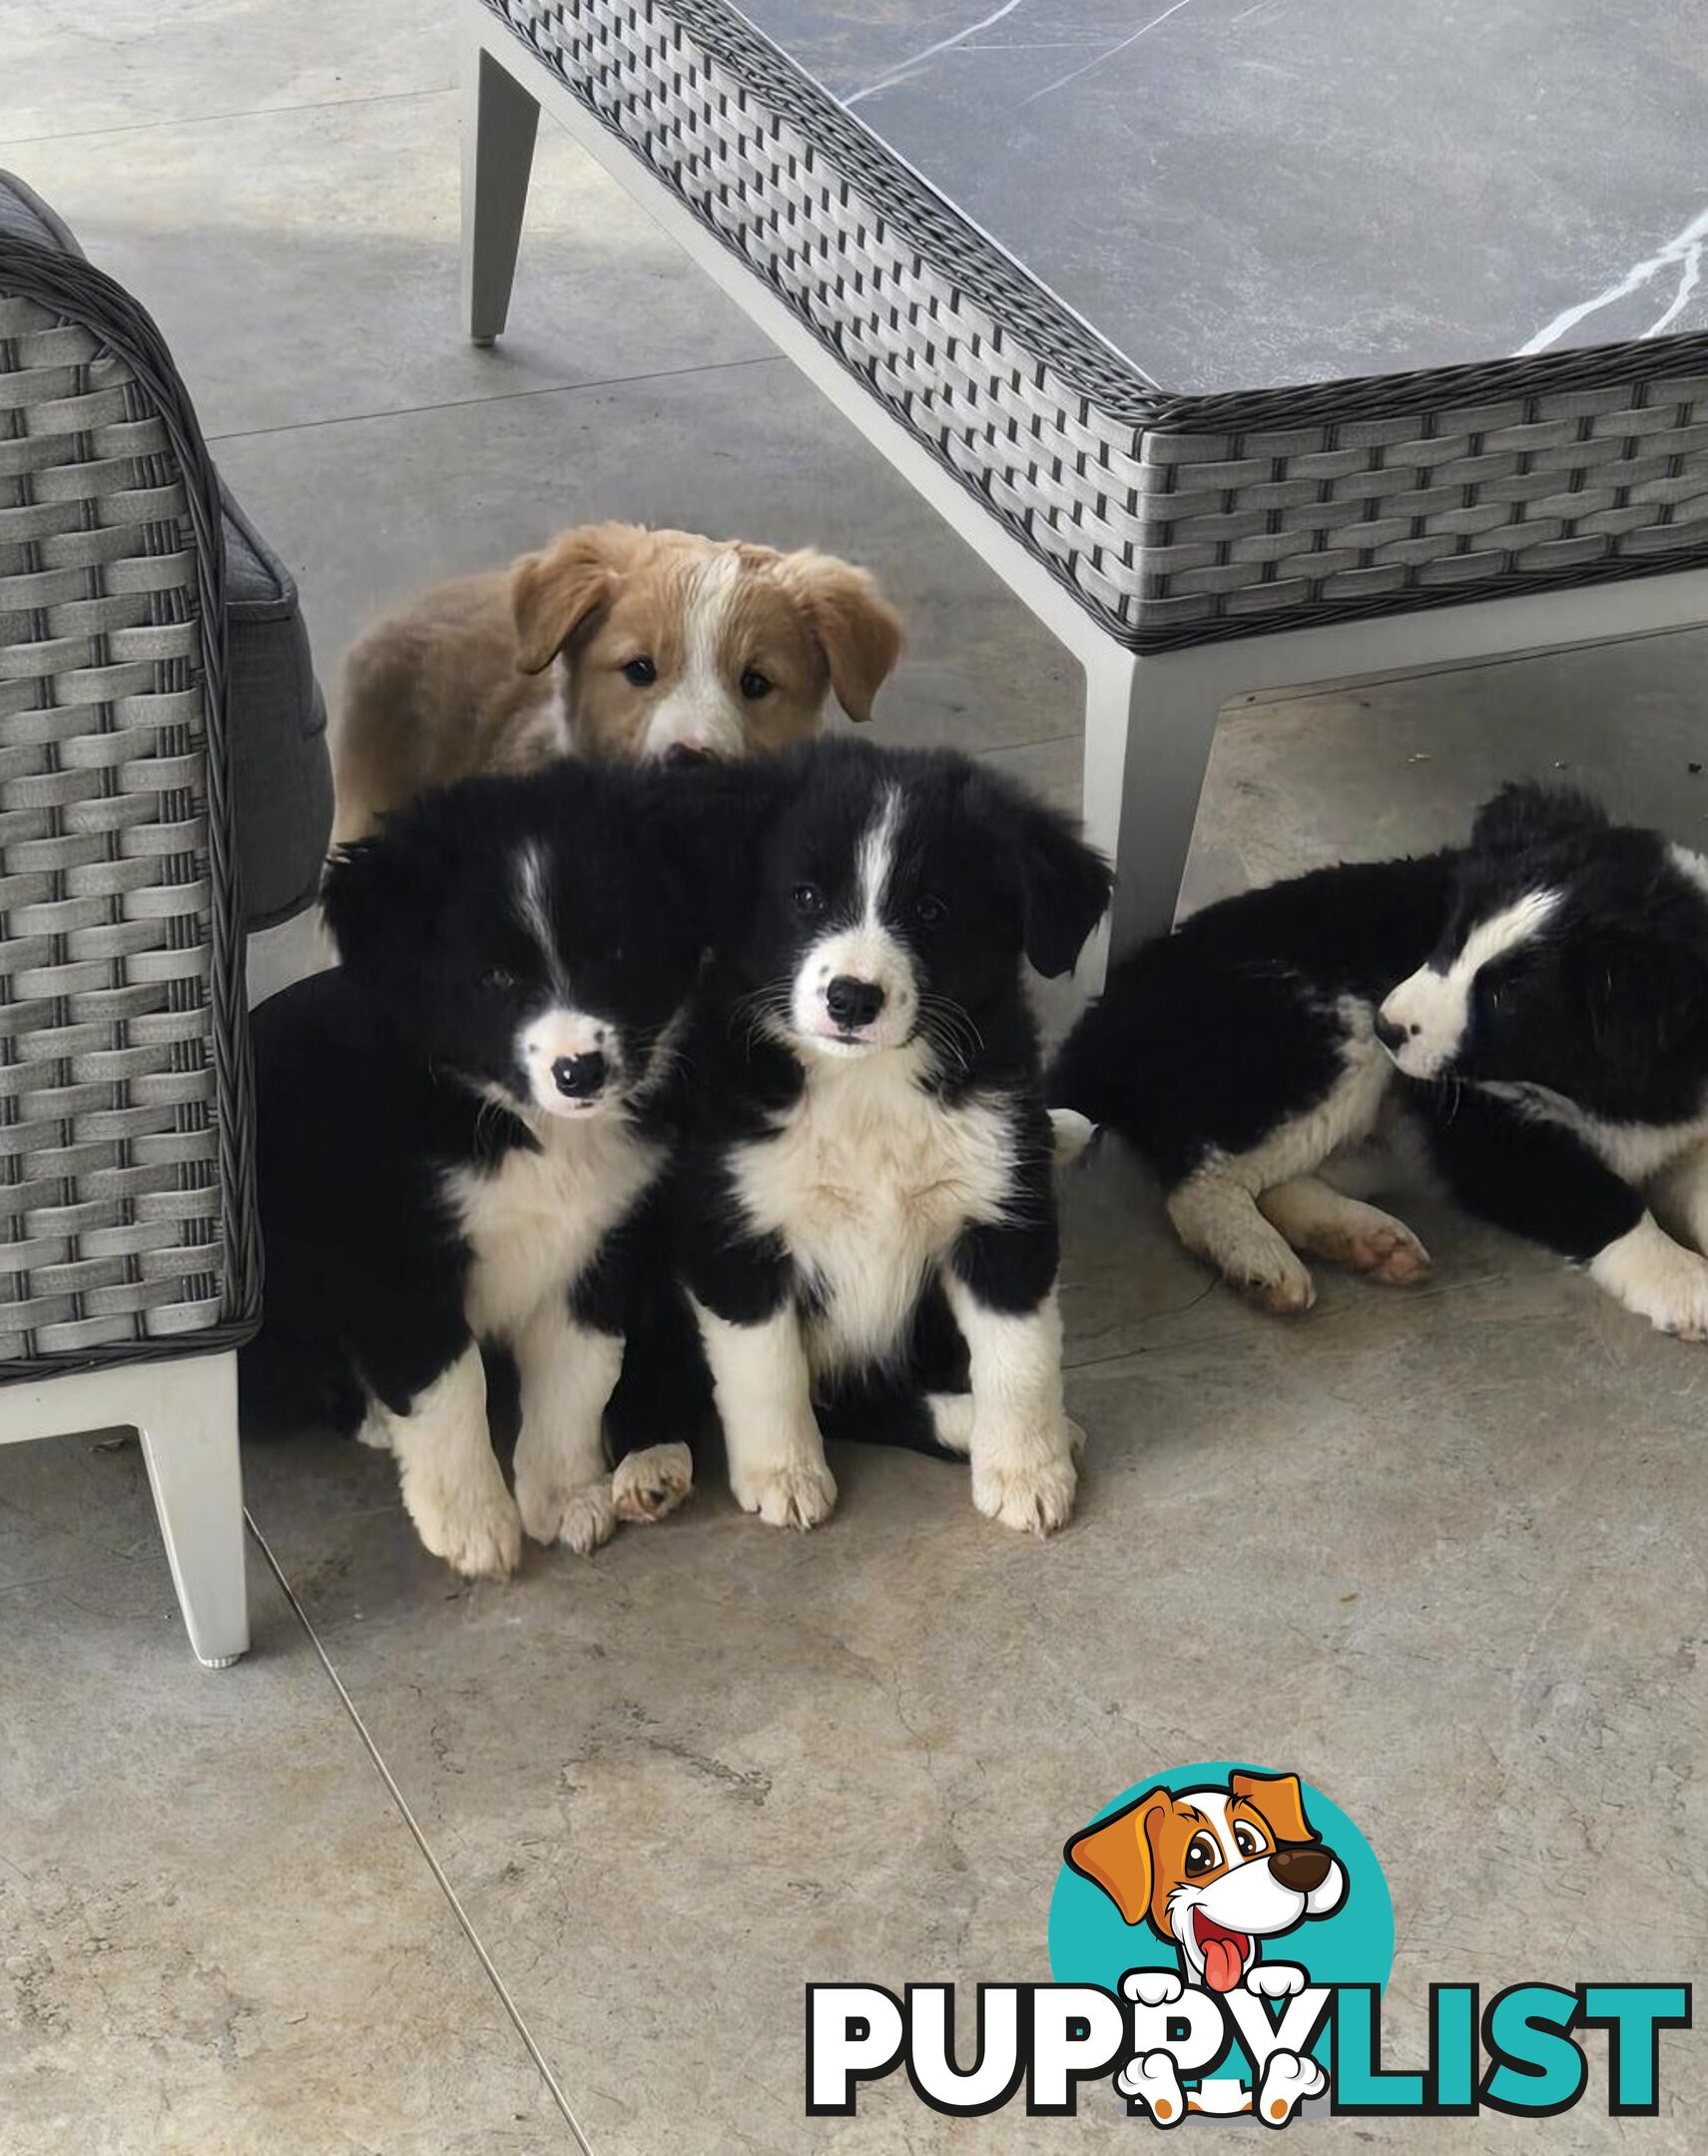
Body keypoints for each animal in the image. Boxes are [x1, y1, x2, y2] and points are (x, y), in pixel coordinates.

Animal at [248, 767, 698, 1578]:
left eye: (615, 953)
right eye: (492, 977)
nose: (579, 1071)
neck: (523, 1127)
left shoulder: (604, 1244)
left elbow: (579, 1372)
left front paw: (565, 1496)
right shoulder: (394, 1264)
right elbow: (448, 1385)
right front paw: (472, 1525)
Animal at [673, 737, 1112, 1534]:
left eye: (932, 910)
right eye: (805, 897)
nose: (851, 998)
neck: (865, 1089)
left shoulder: (1001, 1212)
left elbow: (1021, 1356)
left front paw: (1027, 1471)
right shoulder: (731, 1228)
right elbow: (766, 1366)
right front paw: (783, 1472)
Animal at [1047, 785, 1707, 1337]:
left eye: (1504, 998)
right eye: (1450, 938)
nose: (1390, 1024)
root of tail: (1109, 1010)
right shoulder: (1482, 1128)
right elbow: (1599, 1195)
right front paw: (1684, 1282)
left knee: (1281, 1181)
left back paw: (1365, 1239)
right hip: (1325, 1040)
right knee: (1201, 1176)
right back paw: (1262, 1260)